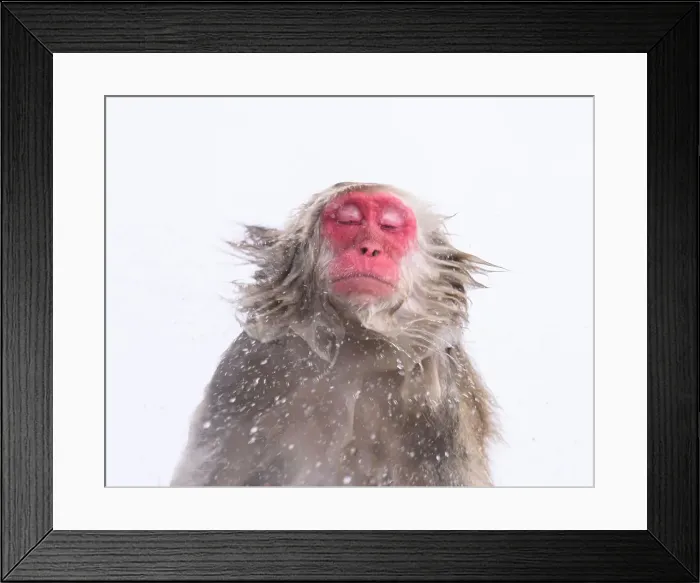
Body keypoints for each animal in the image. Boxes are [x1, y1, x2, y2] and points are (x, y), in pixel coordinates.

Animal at [170, 181, 500, 487]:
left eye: (389, 225)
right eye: (349, 220)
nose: (370, 249)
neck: (358, 345)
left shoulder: (442, 409)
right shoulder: (247, 373)